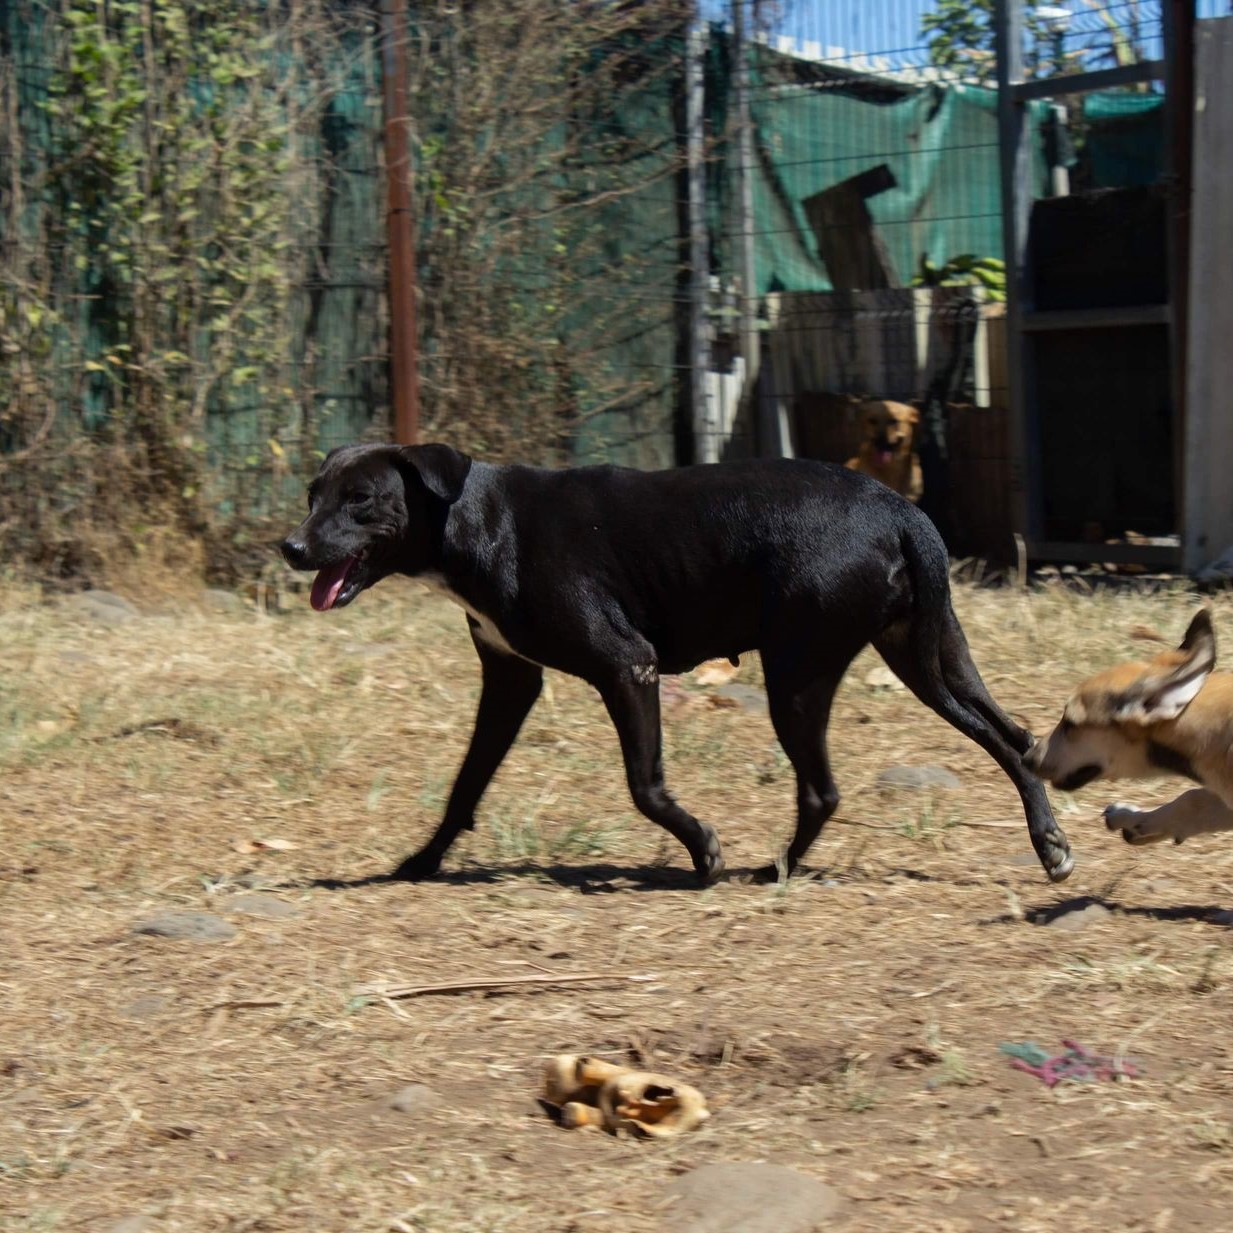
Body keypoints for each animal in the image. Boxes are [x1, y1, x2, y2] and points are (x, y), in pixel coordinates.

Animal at [282, 443, 1070, 887]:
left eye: (360, 500)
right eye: (312, 494)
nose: (290, 547)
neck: (471, 517)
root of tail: (901, 511)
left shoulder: (627, 666)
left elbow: (644, 787)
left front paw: (703, 852)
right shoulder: (510, 679)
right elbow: (465, 785)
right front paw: (422, 861)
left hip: (797, 676)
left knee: (822, 790)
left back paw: (776, 869)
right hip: (928, 658)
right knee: (1015, 738)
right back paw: (1050, 844)